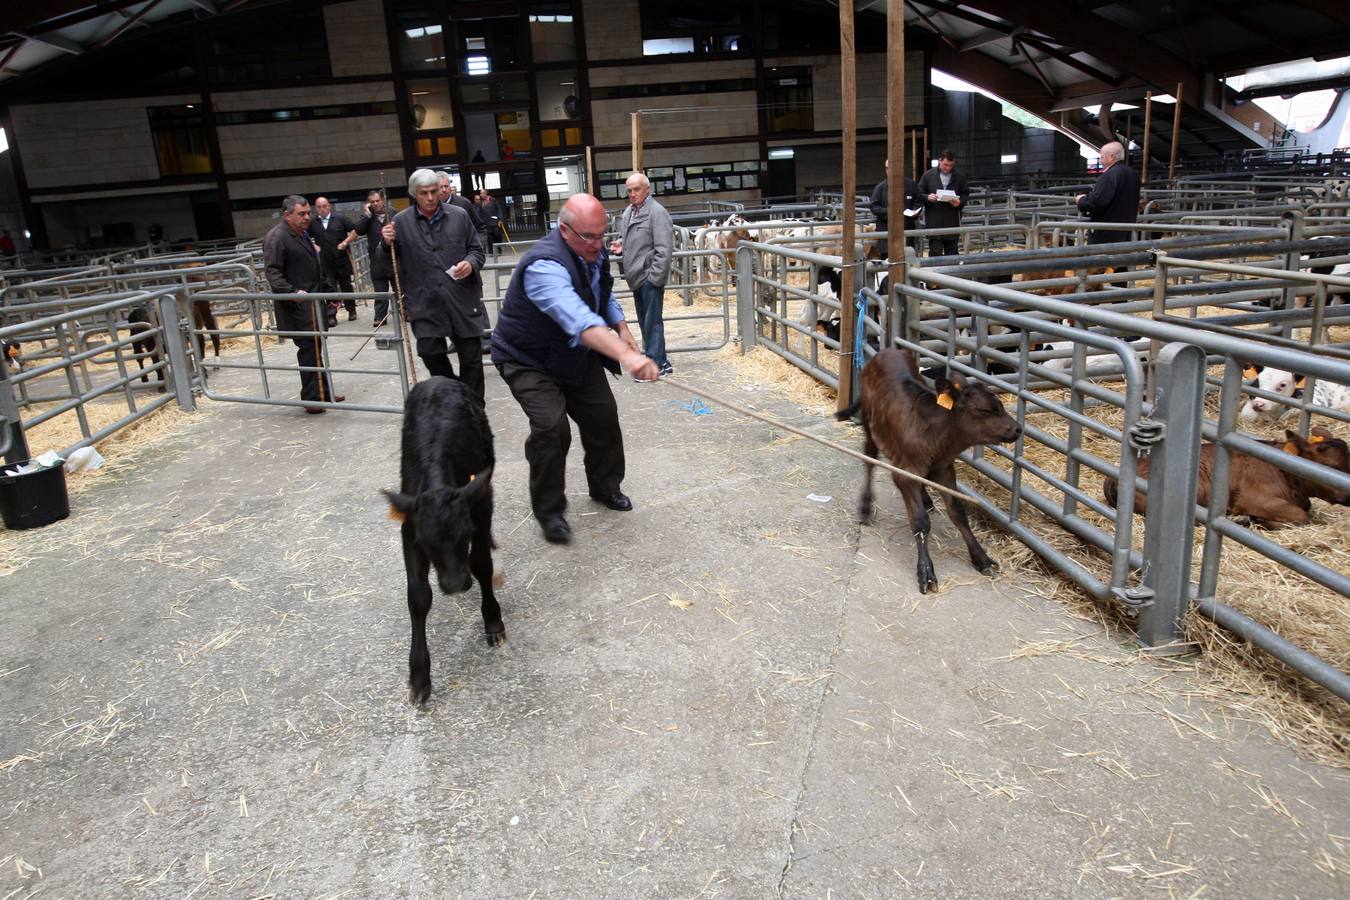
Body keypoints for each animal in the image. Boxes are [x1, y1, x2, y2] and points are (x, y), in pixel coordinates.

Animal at [383, 372, 504, 701]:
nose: (454, 584)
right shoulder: (409, 530)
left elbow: (481, 565)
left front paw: (493, 620)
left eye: (467, 533)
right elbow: (418, 596)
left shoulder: (480, 505)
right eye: (426, 543)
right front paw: (419, 674)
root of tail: (438, 378)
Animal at [831, 348, 1020, 593]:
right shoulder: (904, 474)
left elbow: (958, 514)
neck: (937, 436)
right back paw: (865, 506)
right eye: (985, 410)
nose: (1018, 429)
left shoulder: (945, 469)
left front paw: (982, 558)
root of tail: (887, 351)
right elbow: (920, 521)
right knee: (869, 461)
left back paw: (925, 498)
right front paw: (926, 572)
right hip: (870, 425)